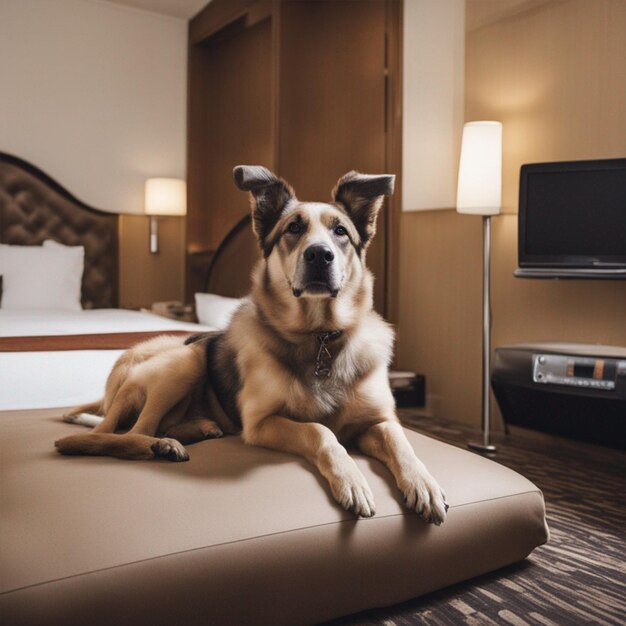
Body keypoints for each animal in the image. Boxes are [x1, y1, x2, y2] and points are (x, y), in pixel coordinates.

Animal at [53, 165, 444, 520]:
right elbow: (320, 431)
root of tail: (110, 390)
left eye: (341, 231)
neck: (319, 337)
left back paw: (197, 429)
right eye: (293, 228)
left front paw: (423, 483)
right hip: (187, 359)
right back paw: (159, 446)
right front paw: (351, 479)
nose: (320, 255)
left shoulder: (378, 421)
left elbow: (400, 441)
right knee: (129, 434)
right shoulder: (262, 423)